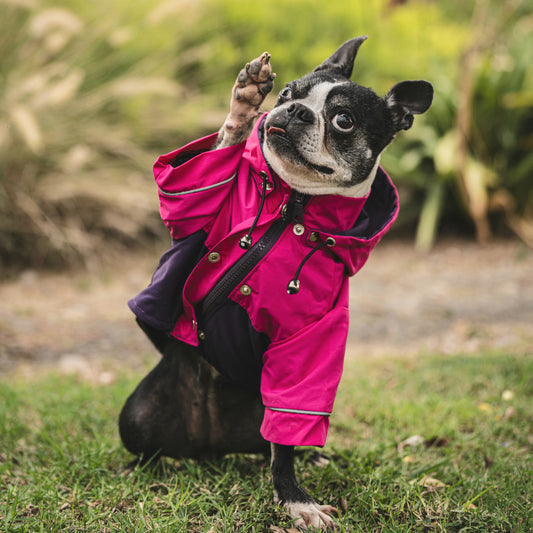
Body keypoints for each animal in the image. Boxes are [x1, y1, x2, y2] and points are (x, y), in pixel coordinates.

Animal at [120, 36, 432, 528]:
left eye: (343, 120)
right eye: (288, 92)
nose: (295, 110)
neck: (296, 205)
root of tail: (211, 448)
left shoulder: (307, 346)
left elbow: (285, 441)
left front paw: (294, 500)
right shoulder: (194, 217)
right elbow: (213, 162)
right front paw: (246, 101)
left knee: (280, 439)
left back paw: (312, 457)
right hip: (136, 417)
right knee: (148, 443)